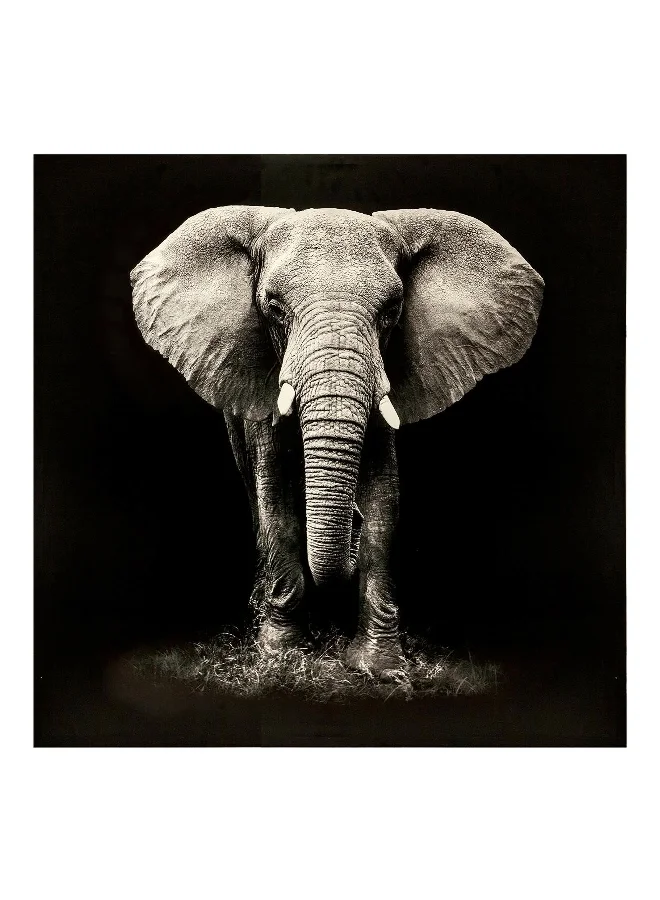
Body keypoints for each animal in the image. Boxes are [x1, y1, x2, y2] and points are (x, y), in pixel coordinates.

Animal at [130, 206, 544, 678]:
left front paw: (379, 667)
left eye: (392, 310)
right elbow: (276, 498)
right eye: (273, 308)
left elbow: (385, 500)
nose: (352, 525)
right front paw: (282, 657)